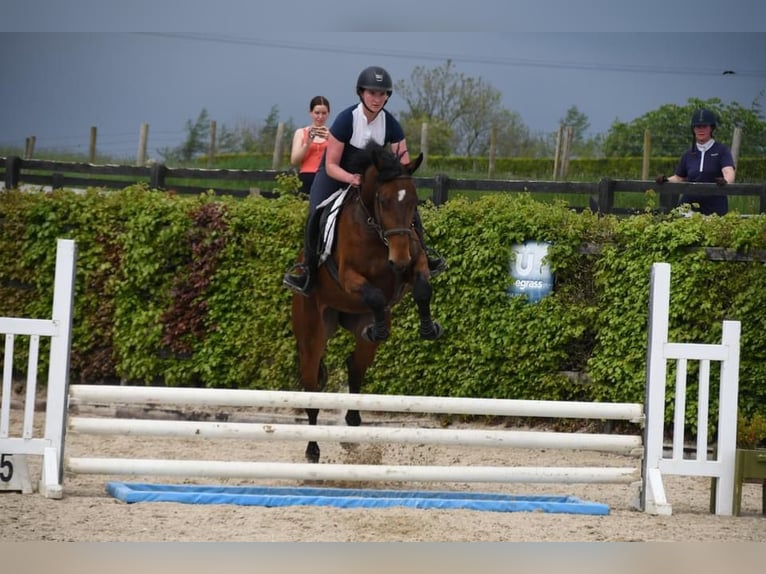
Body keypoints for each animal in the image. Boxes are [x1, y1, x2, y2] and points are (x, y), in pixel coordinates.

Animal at [290, 143, 444, 464]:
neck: (376, 231)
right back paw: (312, 450)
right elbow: (374, 294)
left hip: (357, 332)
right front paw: (380, 328)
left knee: (354, 367)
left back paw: (353, 428)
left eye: (413, 201)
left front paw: (428, 329)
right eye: (383, 201)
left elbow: (422, 287)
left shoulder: (415, 262)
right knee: (311, 389)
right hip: (311, 333)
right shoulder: (349, 276)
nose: (398, 259)